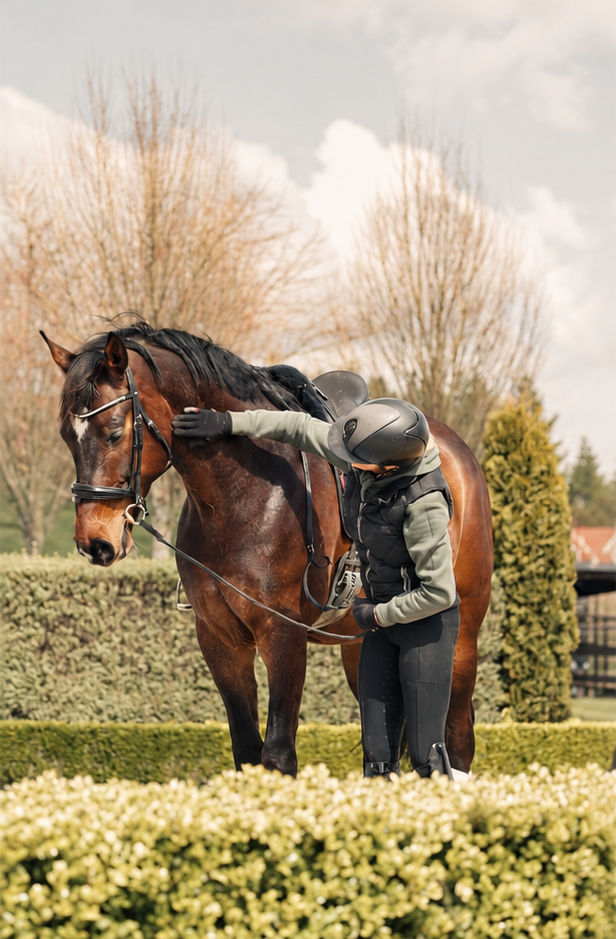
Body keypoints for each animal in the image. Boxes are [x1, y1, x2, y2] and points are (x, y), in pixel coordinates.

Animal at [42, 322, 493, 776]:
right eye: (65, 436)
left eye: (114, 432)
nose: (95, 542)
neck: (243, 495)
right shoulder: (220, 639)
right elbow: (246, 749)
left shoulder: (282, 634)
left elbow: (277, 754)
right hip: (361, 644)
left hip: (460, 640)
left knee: (456, 741)